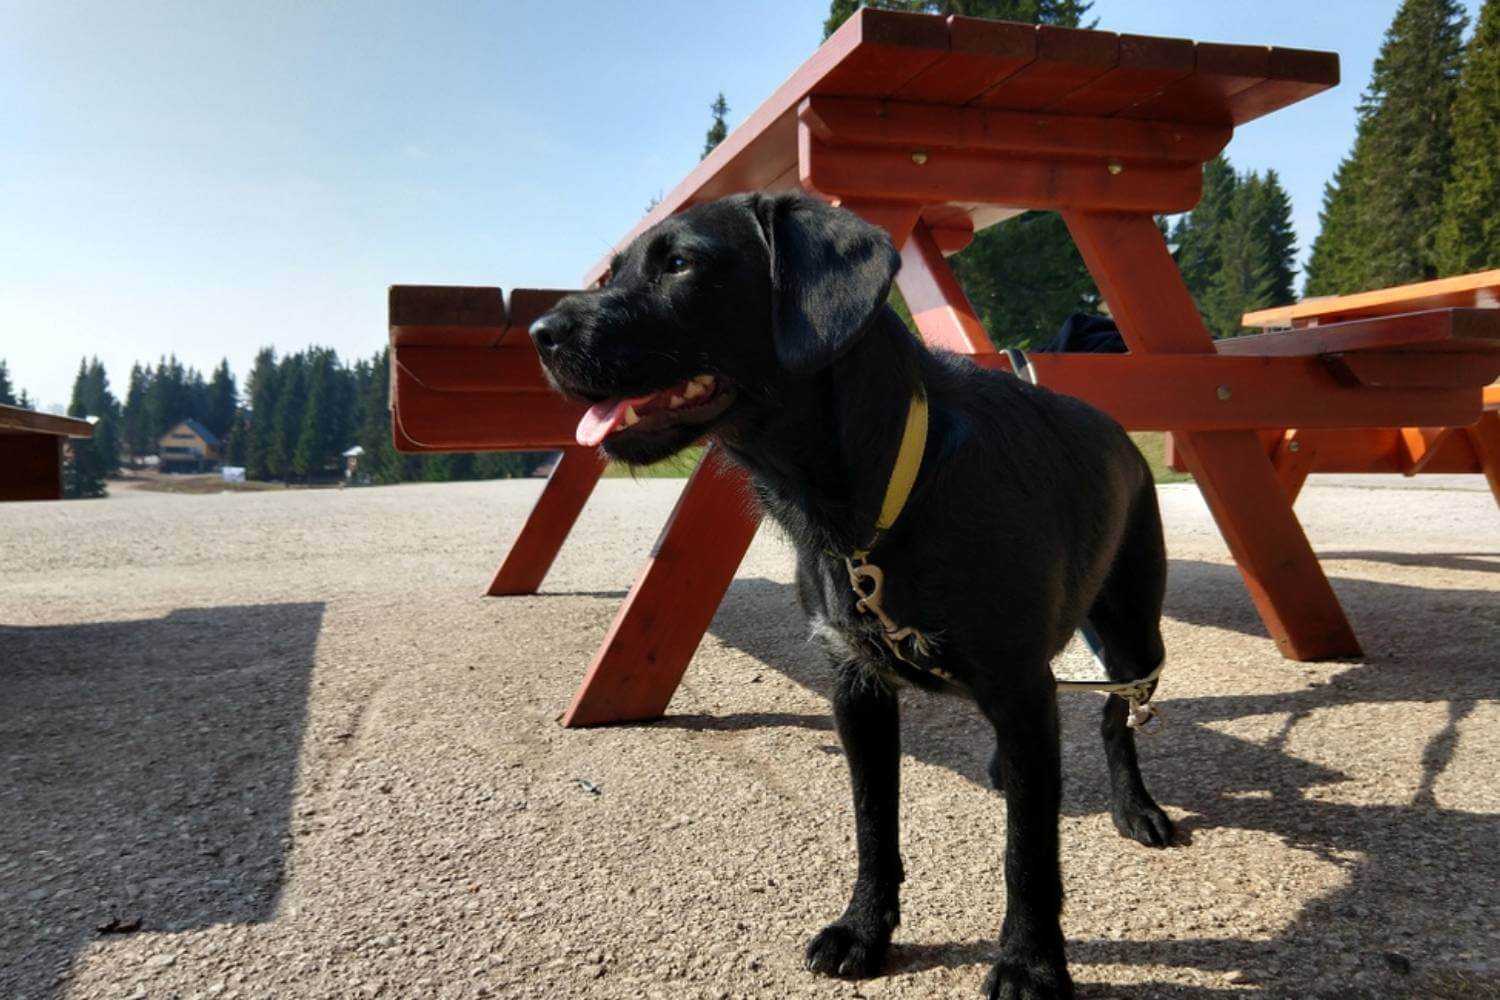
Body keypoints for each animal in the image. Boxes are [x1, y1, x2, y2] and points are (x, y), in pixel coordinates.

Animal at [528, 191, 1170, 995]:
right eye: (614, 273)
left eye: (680, 263)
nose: (539, 333)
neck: (884, 492)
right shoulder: (857, 687)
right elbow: (873, 823)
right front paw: (865, 928)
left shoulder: (1018, 685)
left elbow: (1026, 852)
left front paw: (1029, 961)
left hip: (1135, 628)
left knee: (1120, 714)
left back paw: (1136, 806)